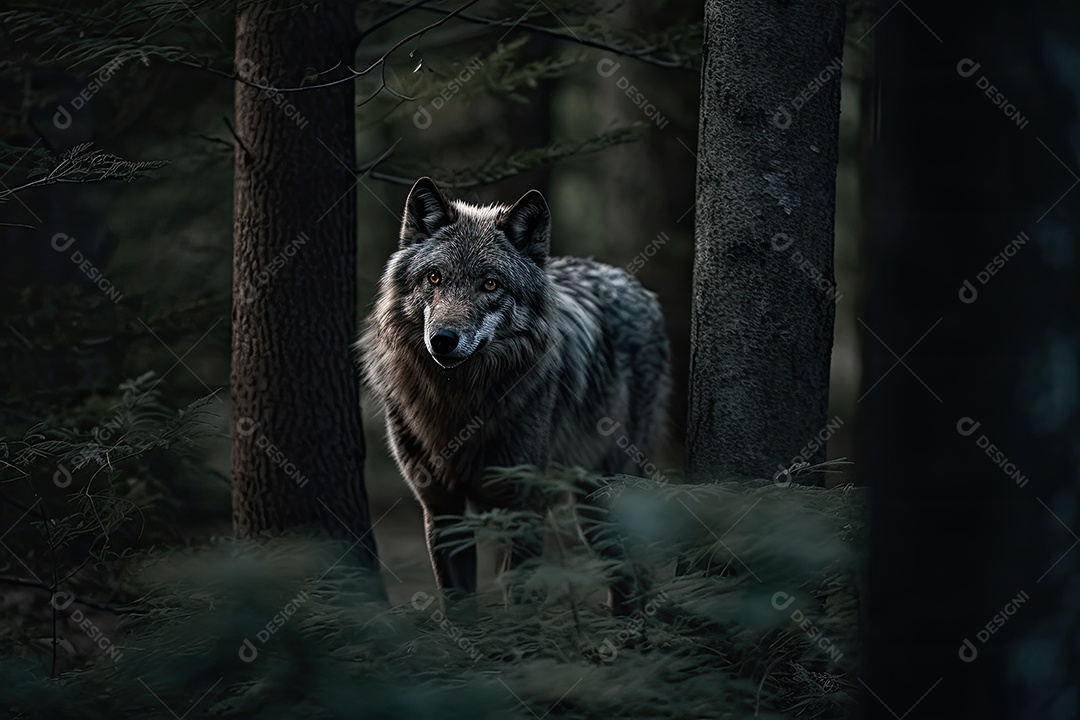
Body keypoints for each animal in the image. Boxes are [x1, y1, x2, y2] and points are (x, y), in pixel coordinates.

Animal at [360, 177, 670, 613]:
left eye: (490, 283)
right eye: (434, 278)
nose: (443, 340)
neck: (458, 404)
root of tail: (631, 283)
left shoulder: (521, 506)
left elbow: (519, 603)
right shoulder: (441, 508)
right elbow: (459, 607)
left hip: (606, 493)